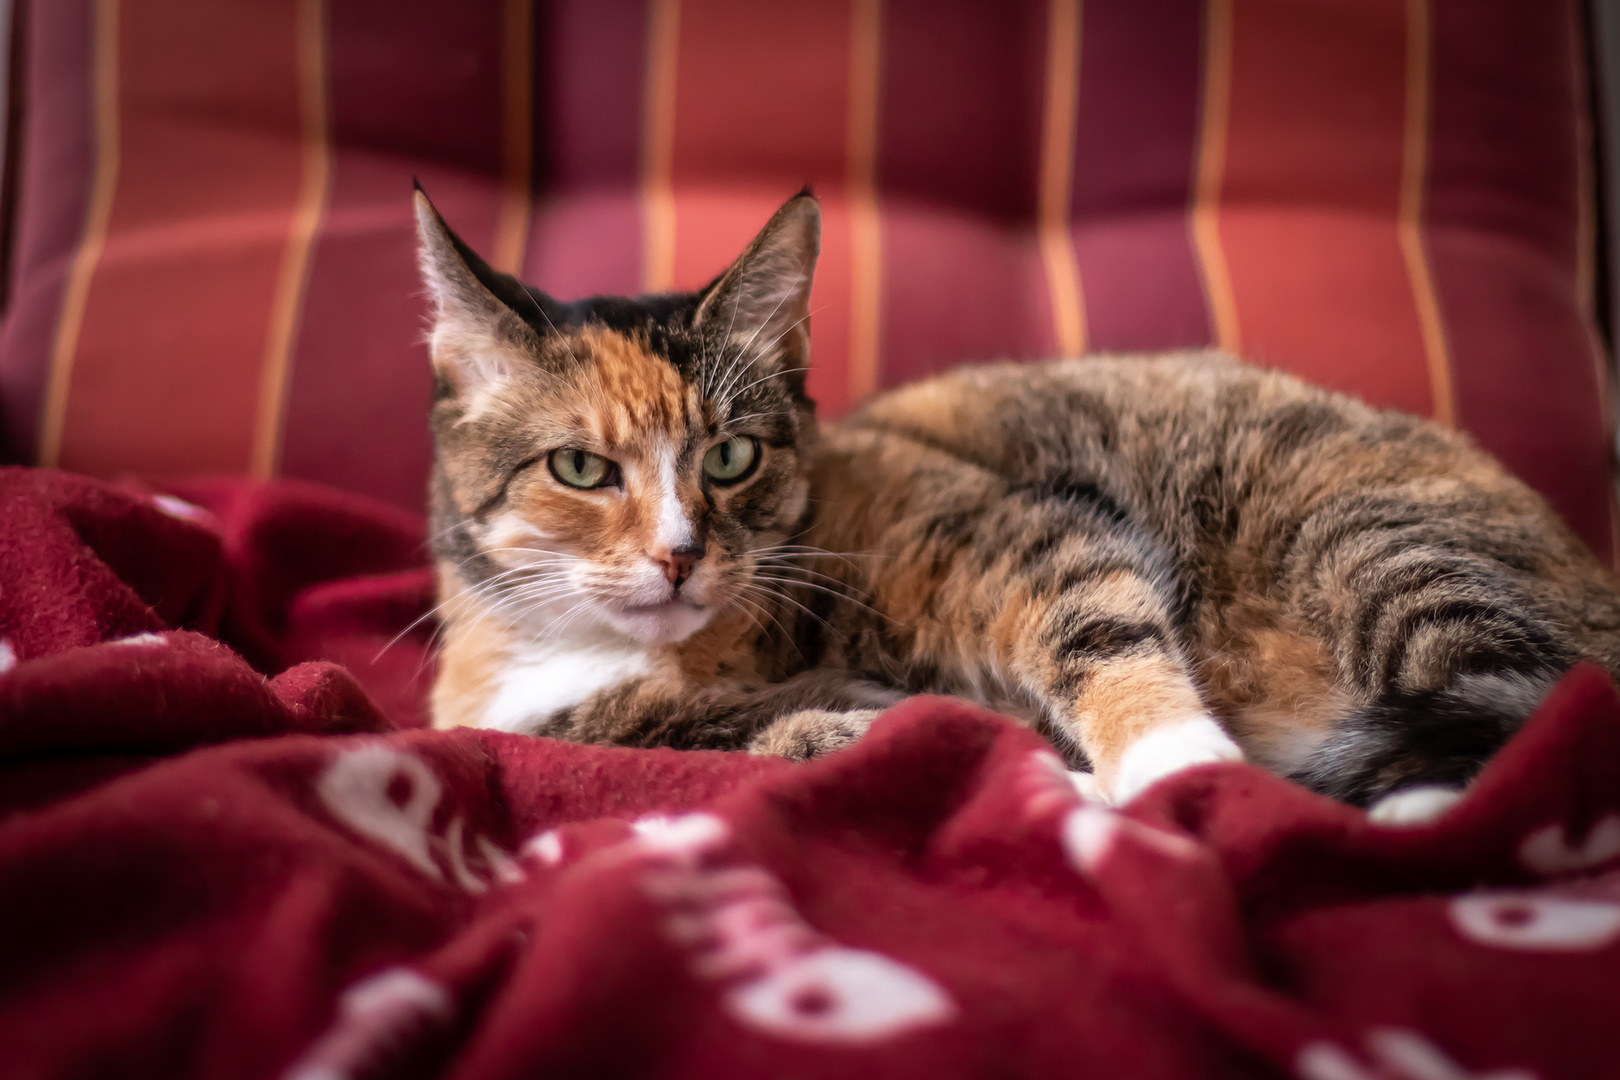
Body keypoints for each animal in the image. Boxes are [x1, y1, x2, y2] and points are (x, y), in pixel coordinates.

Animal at [414, 186, 1620, 809]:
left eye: (730, 459)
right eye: (580, 468)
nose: (678, 555)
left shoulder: (1006, 531)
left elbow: (1095, 626)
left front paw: (1178, 777)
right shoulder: (589, 726)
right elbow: (788, 738)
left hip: (1369, 543)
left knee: (1519, 721)